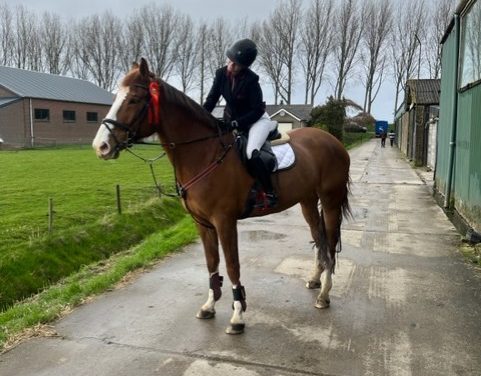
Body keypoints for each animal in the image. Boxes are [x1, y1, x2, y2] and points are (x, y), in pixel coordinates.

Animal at [93, 57, 348, 334]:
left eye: (134, 99)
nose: (101, 146)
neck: (204, 154)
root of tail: (332, 140)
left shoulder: (224, 221)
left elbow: (232, 265)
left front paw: (237, 315)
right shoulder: (202, 223)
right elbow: (212, 263)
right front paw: (209, 305)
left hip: (331, 200)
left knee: (330, 242)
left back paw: (324, 294)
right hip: (308, 201)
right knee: (318, 237)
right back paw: (315, 280)